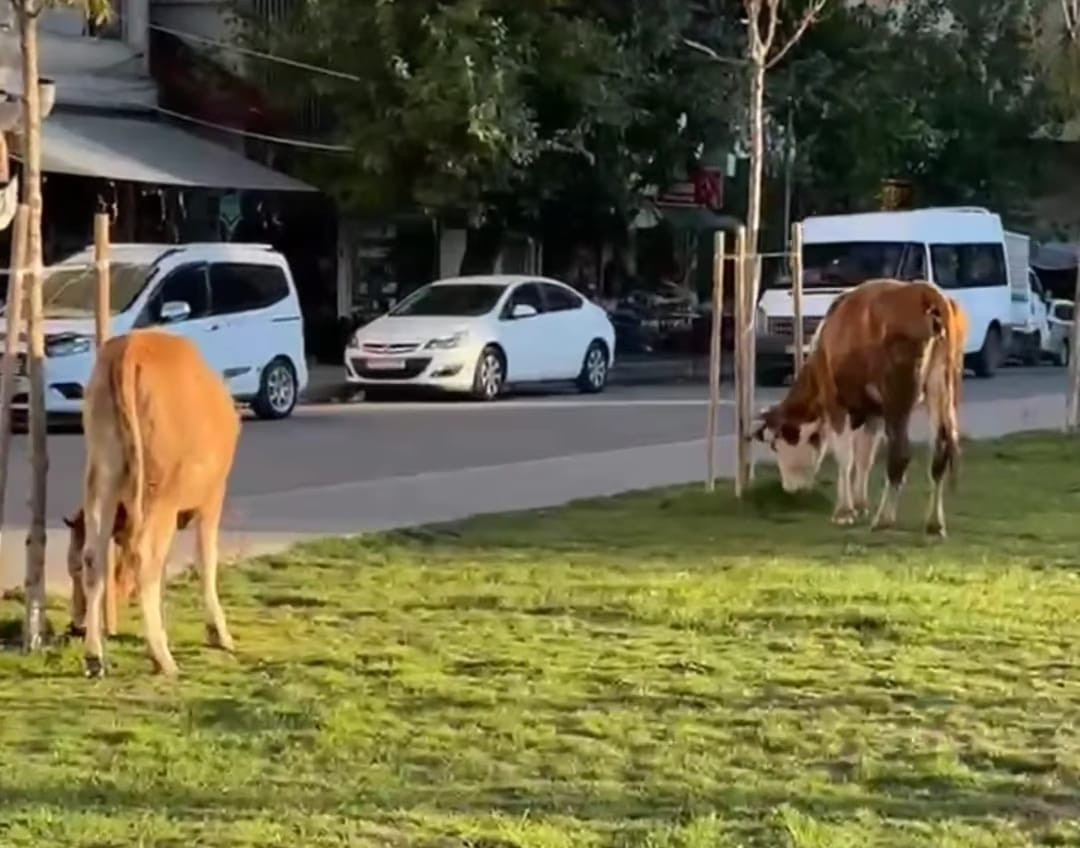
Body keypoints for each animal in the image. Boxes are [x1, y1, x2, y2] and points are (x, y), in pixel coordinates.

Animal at [78, 328, 243, 678]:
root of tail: (132, 346)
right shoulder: (213, 496)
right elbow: (206, 559)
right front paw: (219, 633)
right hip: (160, 492)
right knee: (145, 556)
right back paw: (162, 658)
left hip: (101, 477)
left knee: (94, 557)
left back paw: (95, 656)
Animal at [751, 280, 972, 540]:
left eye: (775, 446)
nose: (789, 489)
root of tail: (924, 291)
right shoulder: (874, 413)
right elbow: (864, 457)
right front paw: (860, 504)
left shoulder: (835, 402)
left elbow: (846, 457)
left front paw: (844, 511)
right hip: (943, 389)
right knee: (941, 451)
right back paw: (934, 523)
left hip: (898, 396)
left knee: (900, 454)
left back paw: (884, 519)